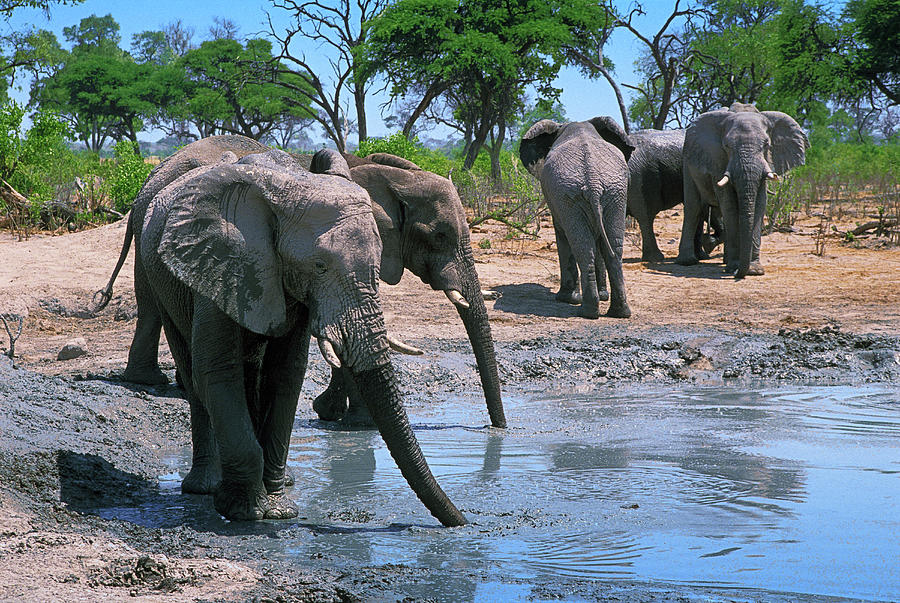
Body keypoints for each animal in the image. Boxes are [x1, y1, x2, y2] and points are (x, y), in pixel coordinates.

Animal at [98, 137, 510, 430]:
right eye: (440, 236)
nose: (498, 429)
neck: (391, 175)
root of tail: (146, 184)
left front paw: (334, 413)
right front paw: (350, 420)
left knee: (153, 307)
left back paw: (157, 382)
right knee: (155, 305)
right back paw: (156, 383)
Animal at [516, 115, 636, 318]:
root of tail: (593, 183)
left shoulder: (559, 201)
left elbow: (562, 235)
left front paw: (565, 299)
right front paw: (602, 296)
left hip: (572, 196)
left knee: (581, 246)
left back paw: (585, 310)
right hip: (615, 194)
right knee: (613, 247)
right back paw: (619, 312)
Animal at [676, 102, 808, 278]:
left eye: (767, 145)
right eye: (726, 146)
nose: (739, 273)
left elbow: (759, 204)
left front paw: (754, 270)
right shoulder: (718, 161)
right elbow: (730, 205)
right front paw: (735, 267)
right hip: (687, 160)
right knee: (694, 208)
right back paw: (688, 261)